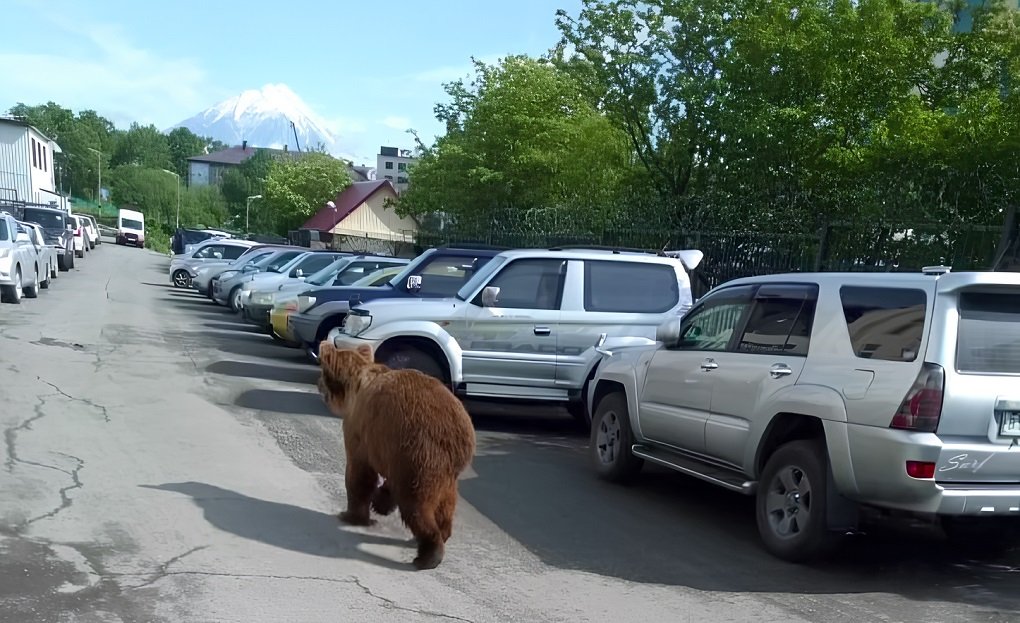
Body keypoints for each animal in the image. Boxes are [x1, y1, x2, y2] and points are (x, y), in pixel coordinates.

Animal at [316, 340, 475, 570]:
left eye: (321, 372)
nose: (317, 384)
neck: (355, 388)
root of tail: (460, 432)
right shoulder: (391, 451)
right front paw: (380, 503)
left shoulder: (362, 431)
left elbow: (359, 474)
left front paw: (351, 515)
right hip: (446, 470)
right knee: (446, 504)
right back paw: (442, 534)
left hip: (422, 453)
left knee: (416, 504)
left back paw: (427, 555)